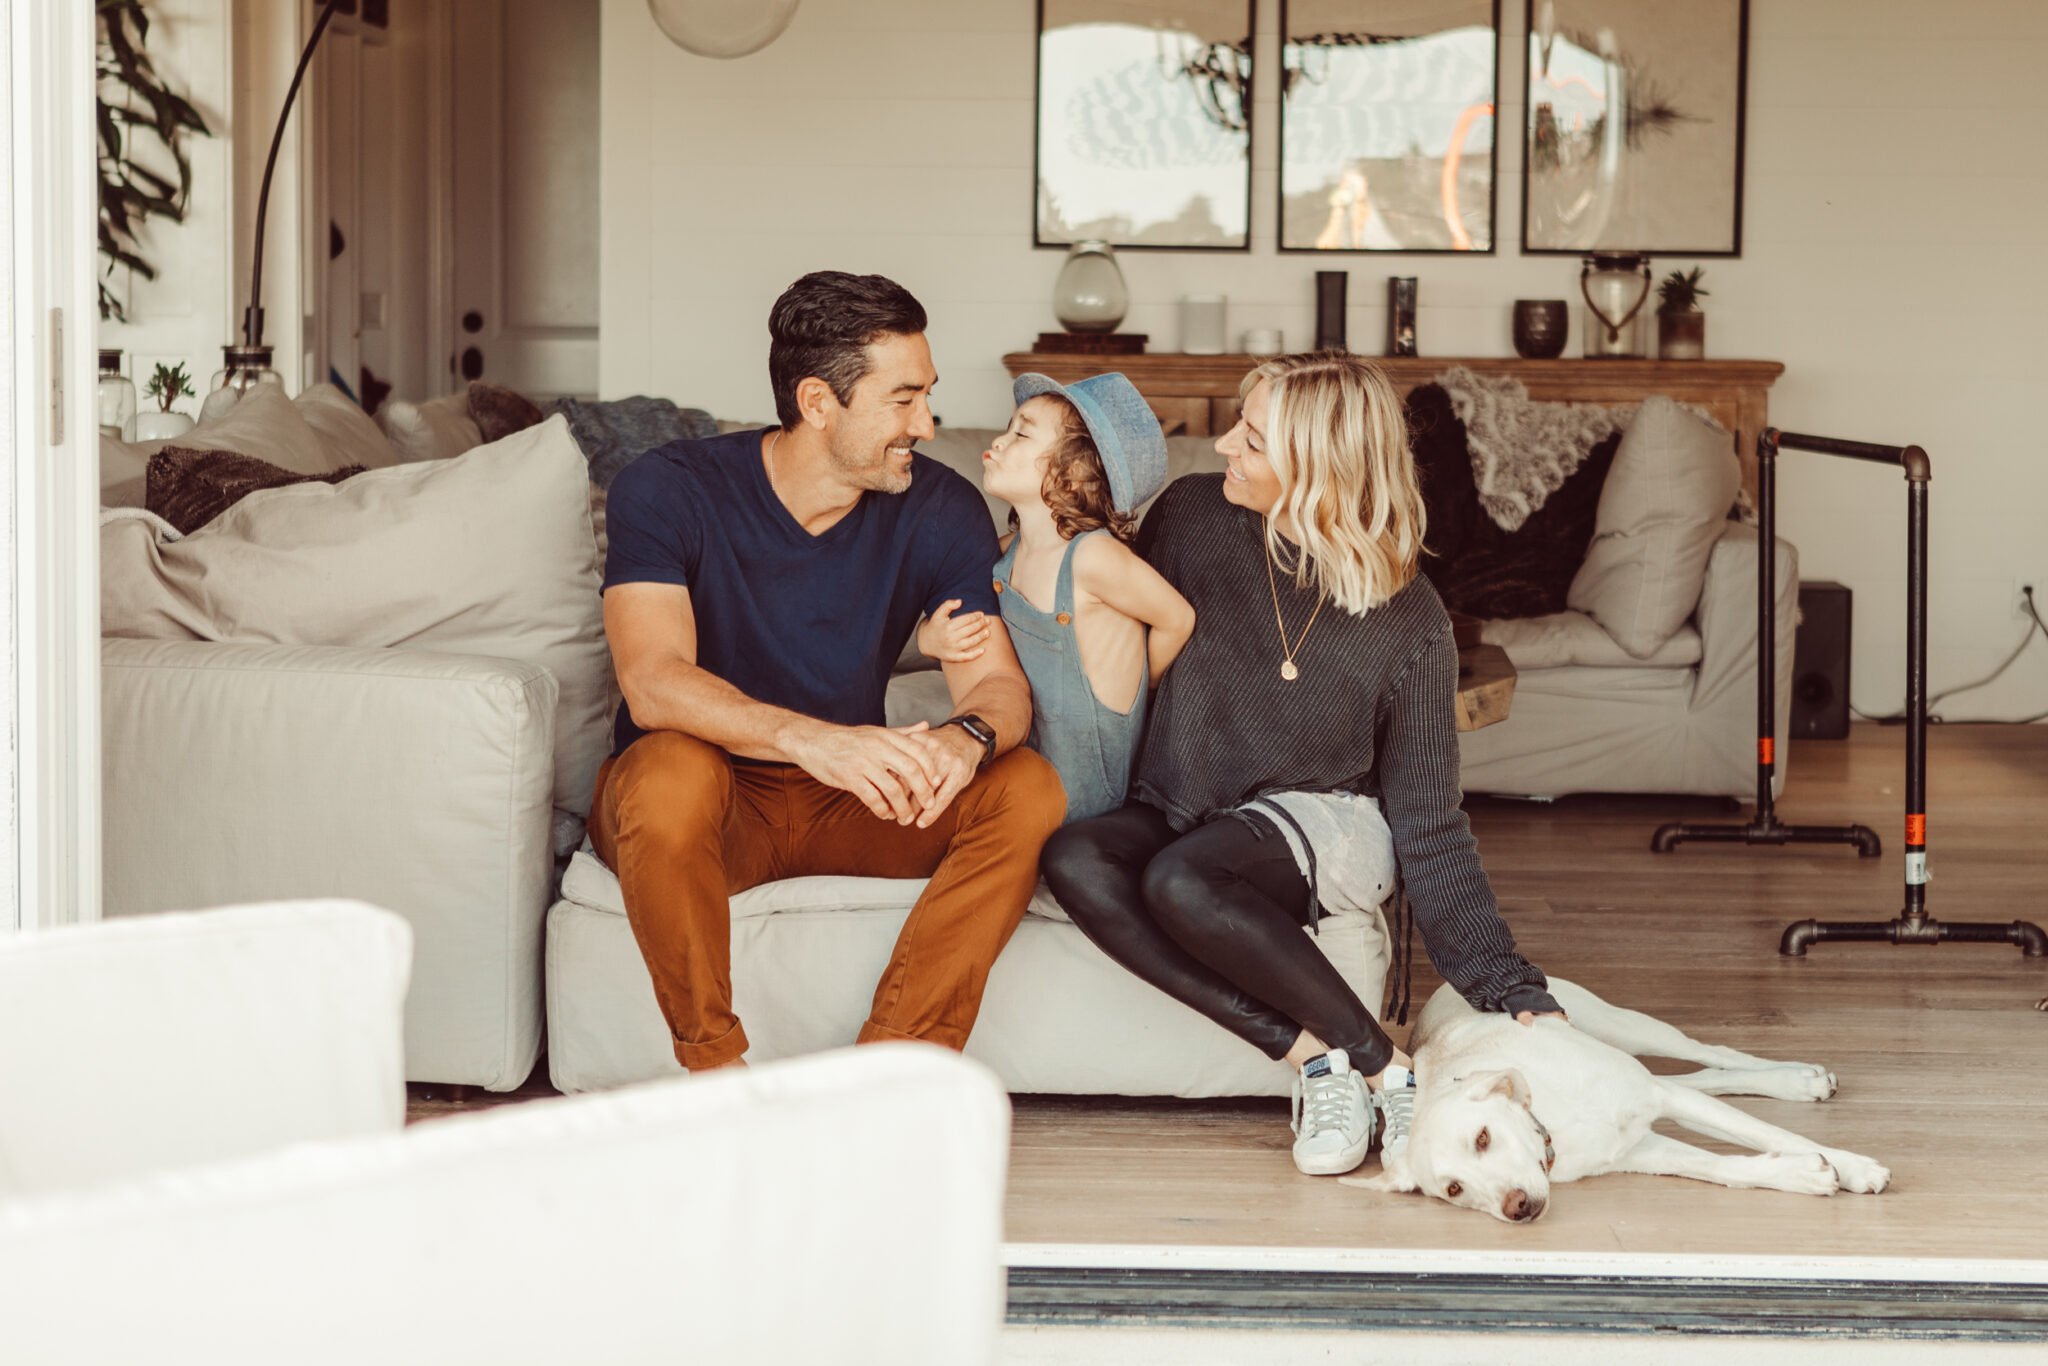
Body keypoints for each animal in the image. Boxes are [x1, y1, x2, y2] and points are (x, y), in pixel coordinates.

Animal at [1343, 978, 1884, 1220]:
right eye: (1454, 1189)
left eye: (1482, 1137)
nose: (1517, 1207)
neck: (1555, 1124)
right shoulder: (1644, 1151)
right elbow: (1723, 1167)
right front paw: (1803, 1174)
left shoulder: (1659, 1098)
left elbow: (1769, 1133)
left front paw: (1857, 1167)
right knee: (1702, 1076)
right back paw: (1796, 1082)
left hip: (1627, 1027)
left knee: (1710, 1053)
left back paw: (1800, 1079)